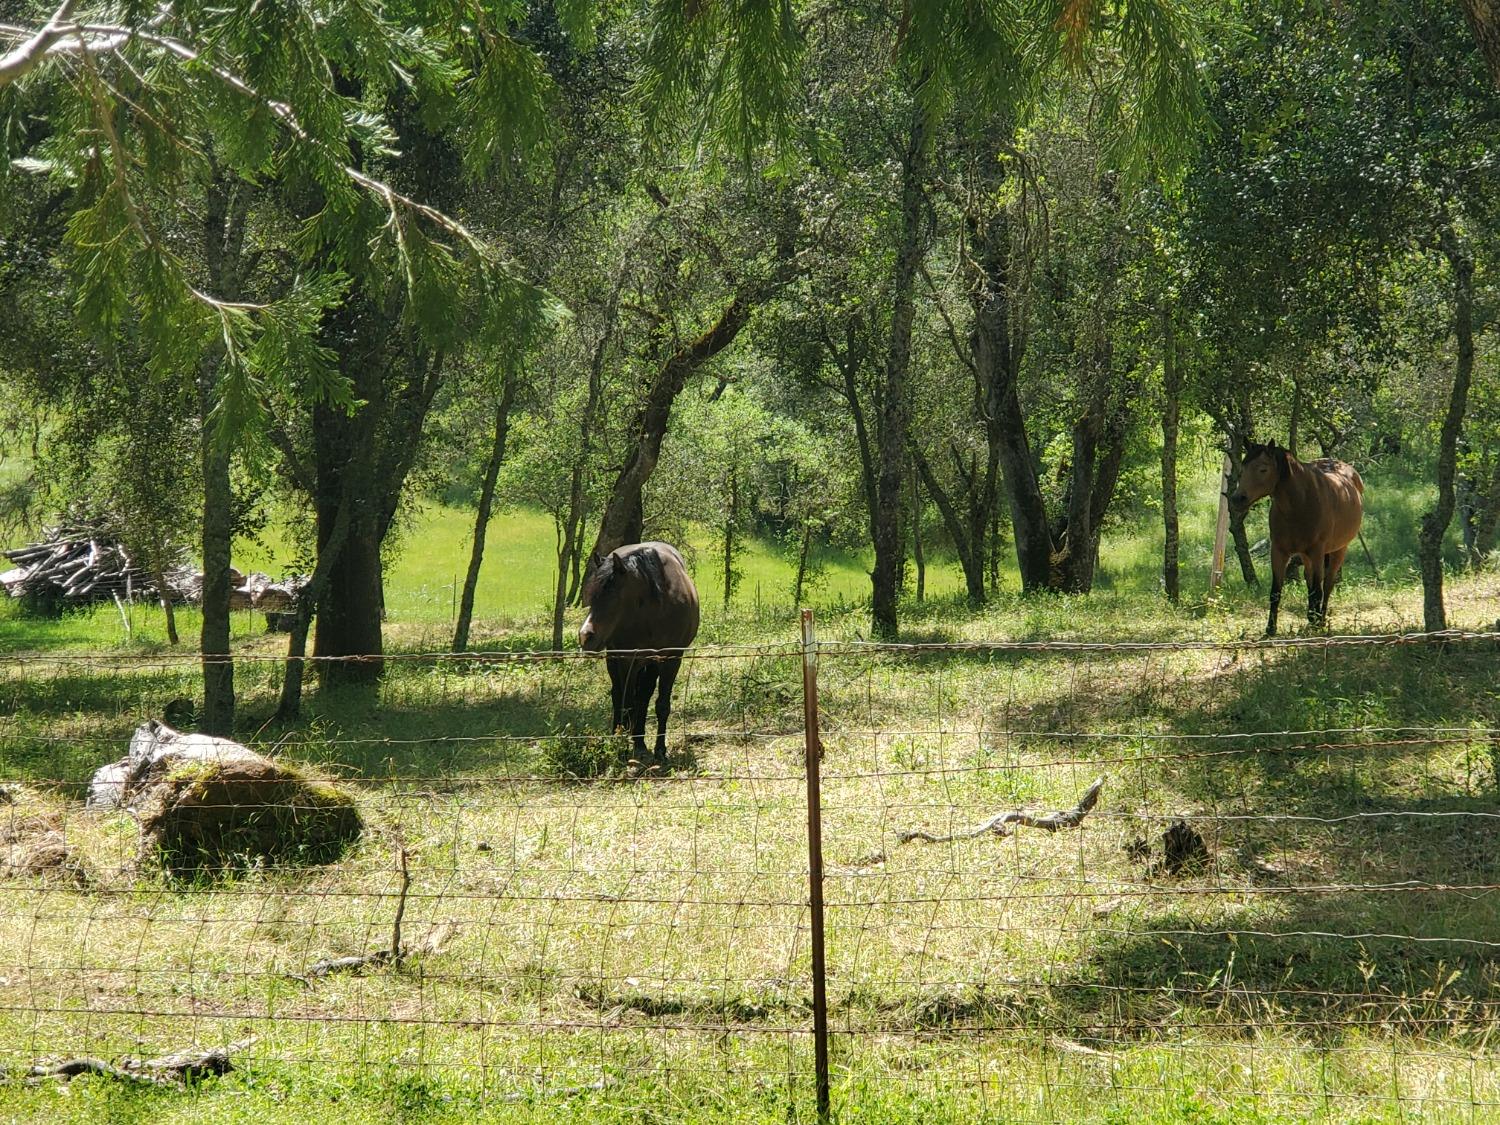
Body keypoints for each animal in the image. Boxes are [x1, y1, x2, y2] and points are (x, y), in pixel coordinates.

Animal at [576, 543, 699, 768]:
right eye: (591, 595)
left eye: (613, 595)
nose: (585, 636)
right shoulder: (627, 660)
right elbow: (627, 702)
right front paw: (623, 747)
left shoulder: (671, 659)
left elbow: (661, 705)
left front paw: (660, 751)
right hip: (616, 659)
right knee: (619, 695)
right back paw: (622, 737)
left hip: (650, 663)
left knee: (643, 695)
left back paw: (640, 743)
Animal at [1224, 438, 1368, 636]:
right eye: (1243, 468)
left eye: (1263, 469)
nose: (1238, 499)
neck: (1301, 503)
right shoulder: (1279, 551)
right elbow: (1276, 591)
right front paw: (1270, 628)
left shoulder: (1317, 551)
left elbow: (1318, 589)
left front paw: (1317, 623)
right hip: (1306, 556)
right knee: (1310, 579)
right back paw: (1312, 616)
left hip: (1338, 550)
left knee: (1327, 584)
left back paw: (1321, 619)